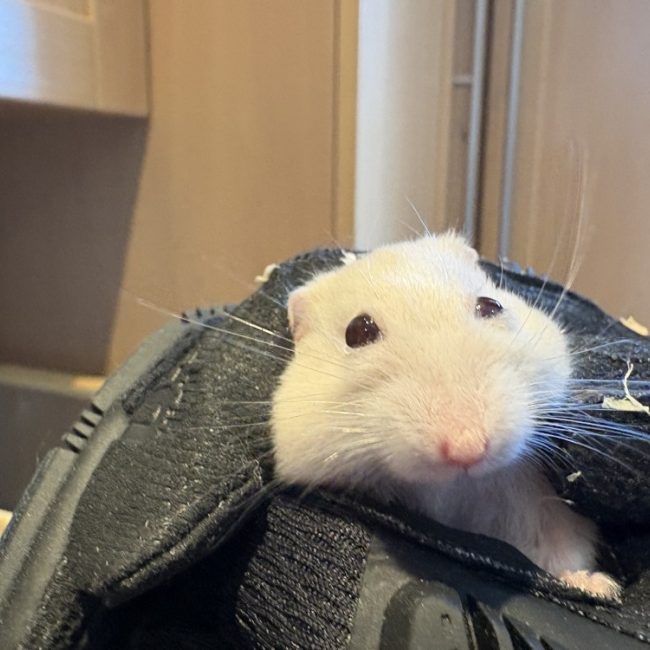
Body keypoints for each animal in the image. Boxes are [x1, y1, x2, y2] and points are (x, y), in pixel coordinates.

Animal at [271, 233, 621, 599]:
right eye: (357, 332)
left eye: (491, 306)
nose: (467, 449)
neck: (457, 488)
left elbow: (562, 553)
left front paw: (600, 586)